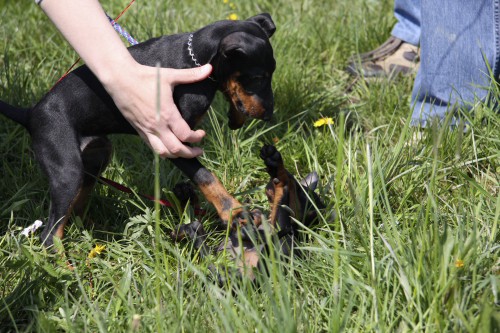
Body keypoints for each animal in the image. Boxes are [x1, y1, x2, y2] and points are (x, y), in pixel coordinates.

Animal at [0, 13, 276, 246]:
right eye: (258, 77)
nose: (269, 114)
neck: (193, 60)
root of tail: (31, 113)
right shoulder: (174, 141)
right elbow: (206, 176)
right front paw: (234, 211)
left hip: (96, 157)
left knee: (73, 208)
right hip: (67, 170)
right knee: (49, 235)